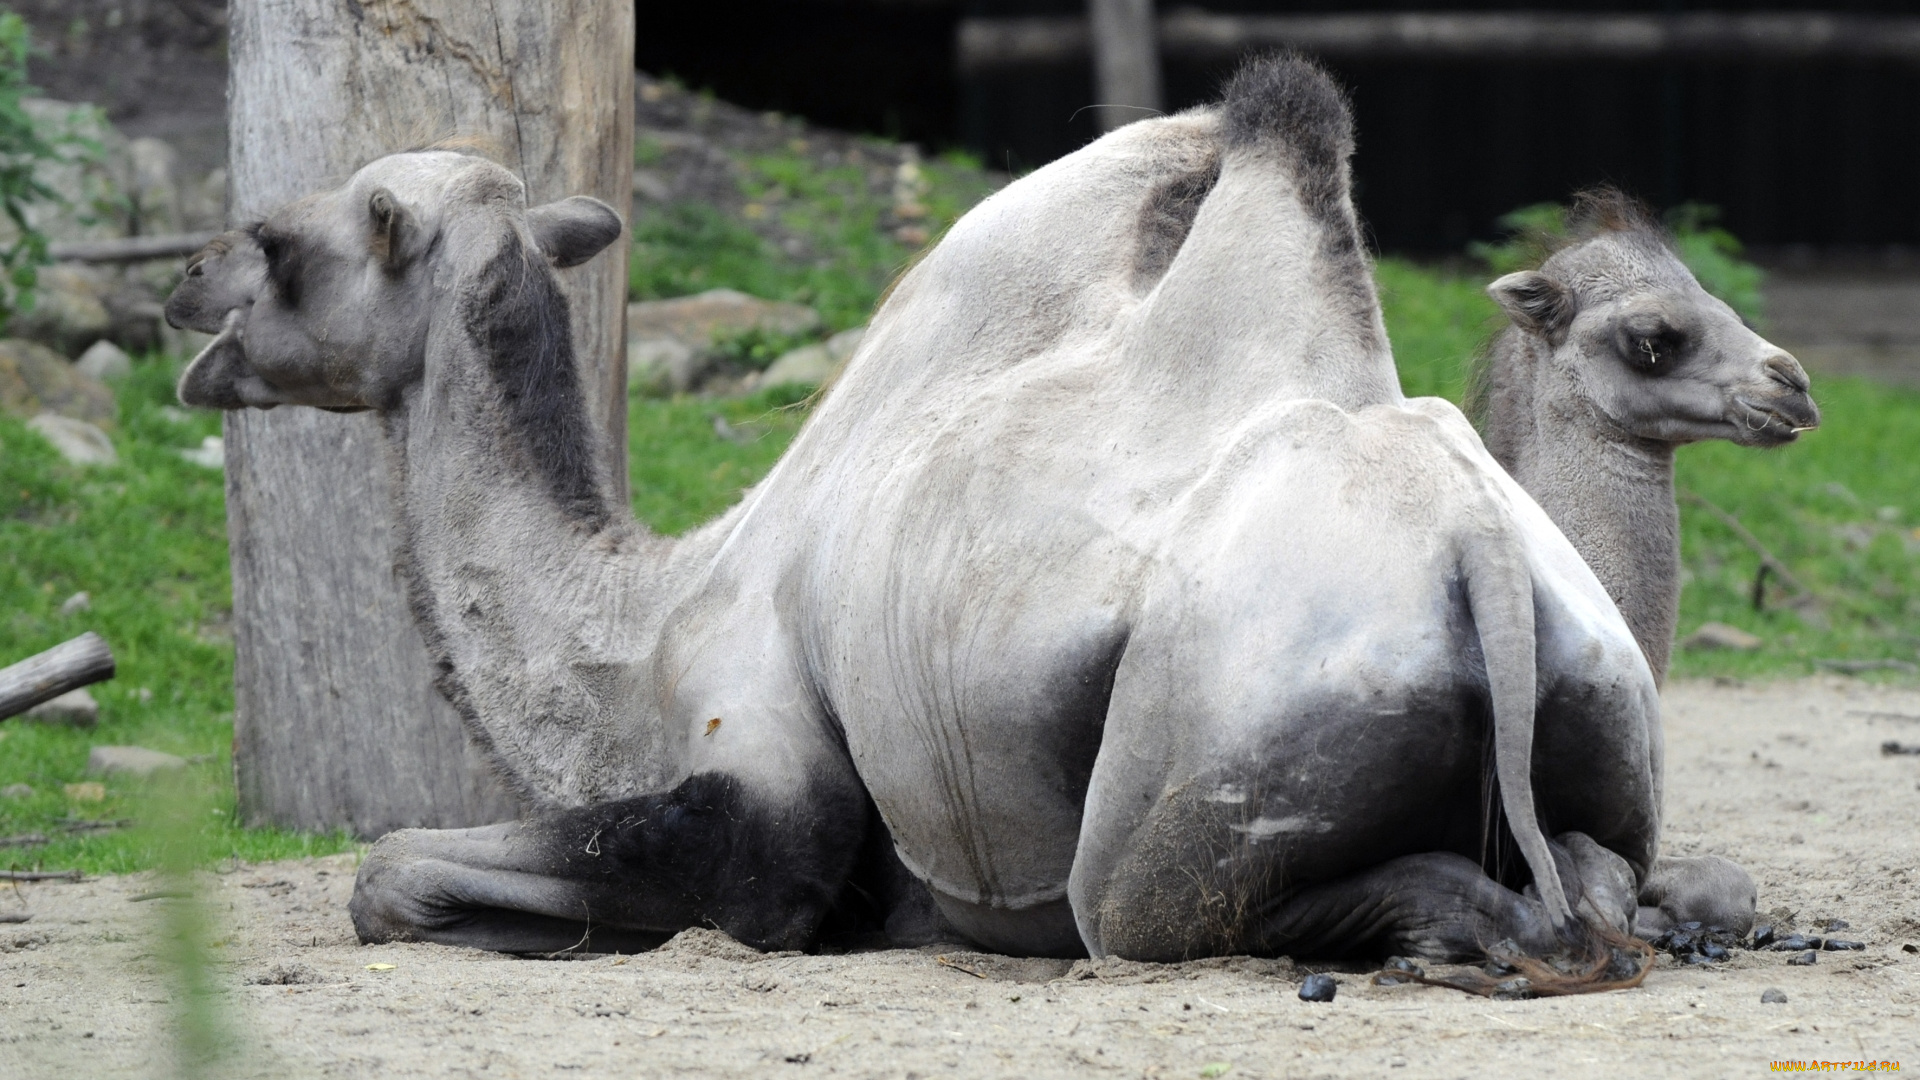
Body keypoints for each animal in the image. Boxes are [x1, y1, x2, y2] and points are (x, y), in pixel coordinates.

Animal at [172, 54, 1758, 976]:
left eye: (282, 244)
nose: (184, 286)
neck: (642, 620)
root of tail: (1478, 552)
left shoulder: (765, 799)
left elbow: (392, 869)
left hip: (1205, 757)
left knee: (1152, 914)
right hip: (1603, 699)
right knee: (1597, 874)